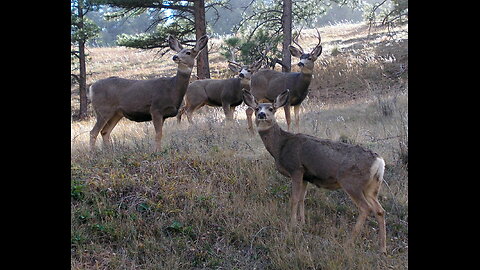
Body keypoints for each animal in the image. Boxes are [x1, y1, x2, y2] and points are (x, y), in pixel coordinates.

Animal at [244, 89, 386, 254]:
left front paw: (292, 225)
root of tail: (379, 162)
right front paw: (302, 222)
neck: (280, 146)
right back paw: (382, 248)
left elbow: (294, 198)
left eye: (271, 109)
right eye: (256, 108)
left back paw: (349, 242)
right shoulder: (306, 176)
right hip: (372, 187)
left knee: (365, 208)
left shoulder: (296, 168)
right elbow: (302, 198)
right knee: (380, 210)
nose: (261, 114)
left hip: (351, 182)